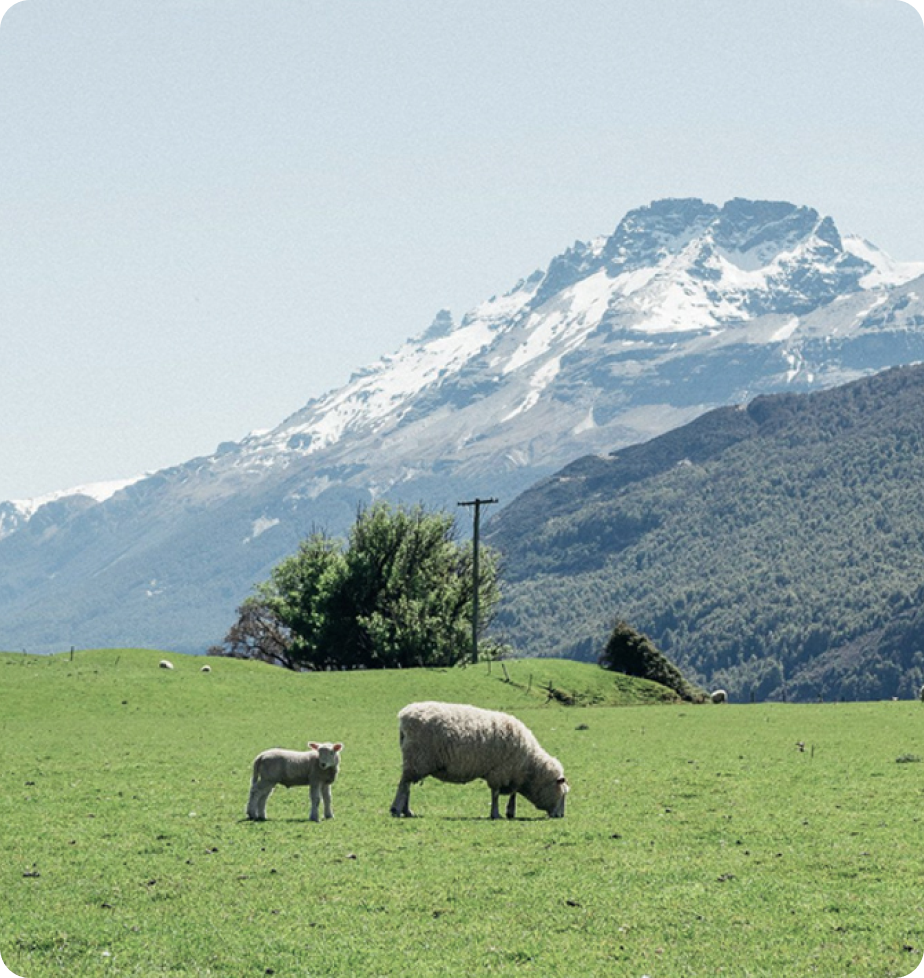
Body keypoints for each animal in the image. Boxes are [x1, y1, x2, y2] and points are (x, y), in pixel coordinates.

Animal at [390, 696, 572, 820]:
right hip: (418, 757)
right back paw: (397, 810)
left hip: (415, 760)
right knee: (404, 784)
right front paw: (496, 814)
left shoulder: (513, 774)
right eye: (563, 794)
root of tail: (404, 715)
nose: (560, 816)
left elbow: (512, 794)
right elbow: (496, 794)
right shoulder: (500, 772)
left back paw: (406, 811)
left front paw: (510, 812)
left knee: (407, 785)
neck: (530, 765)